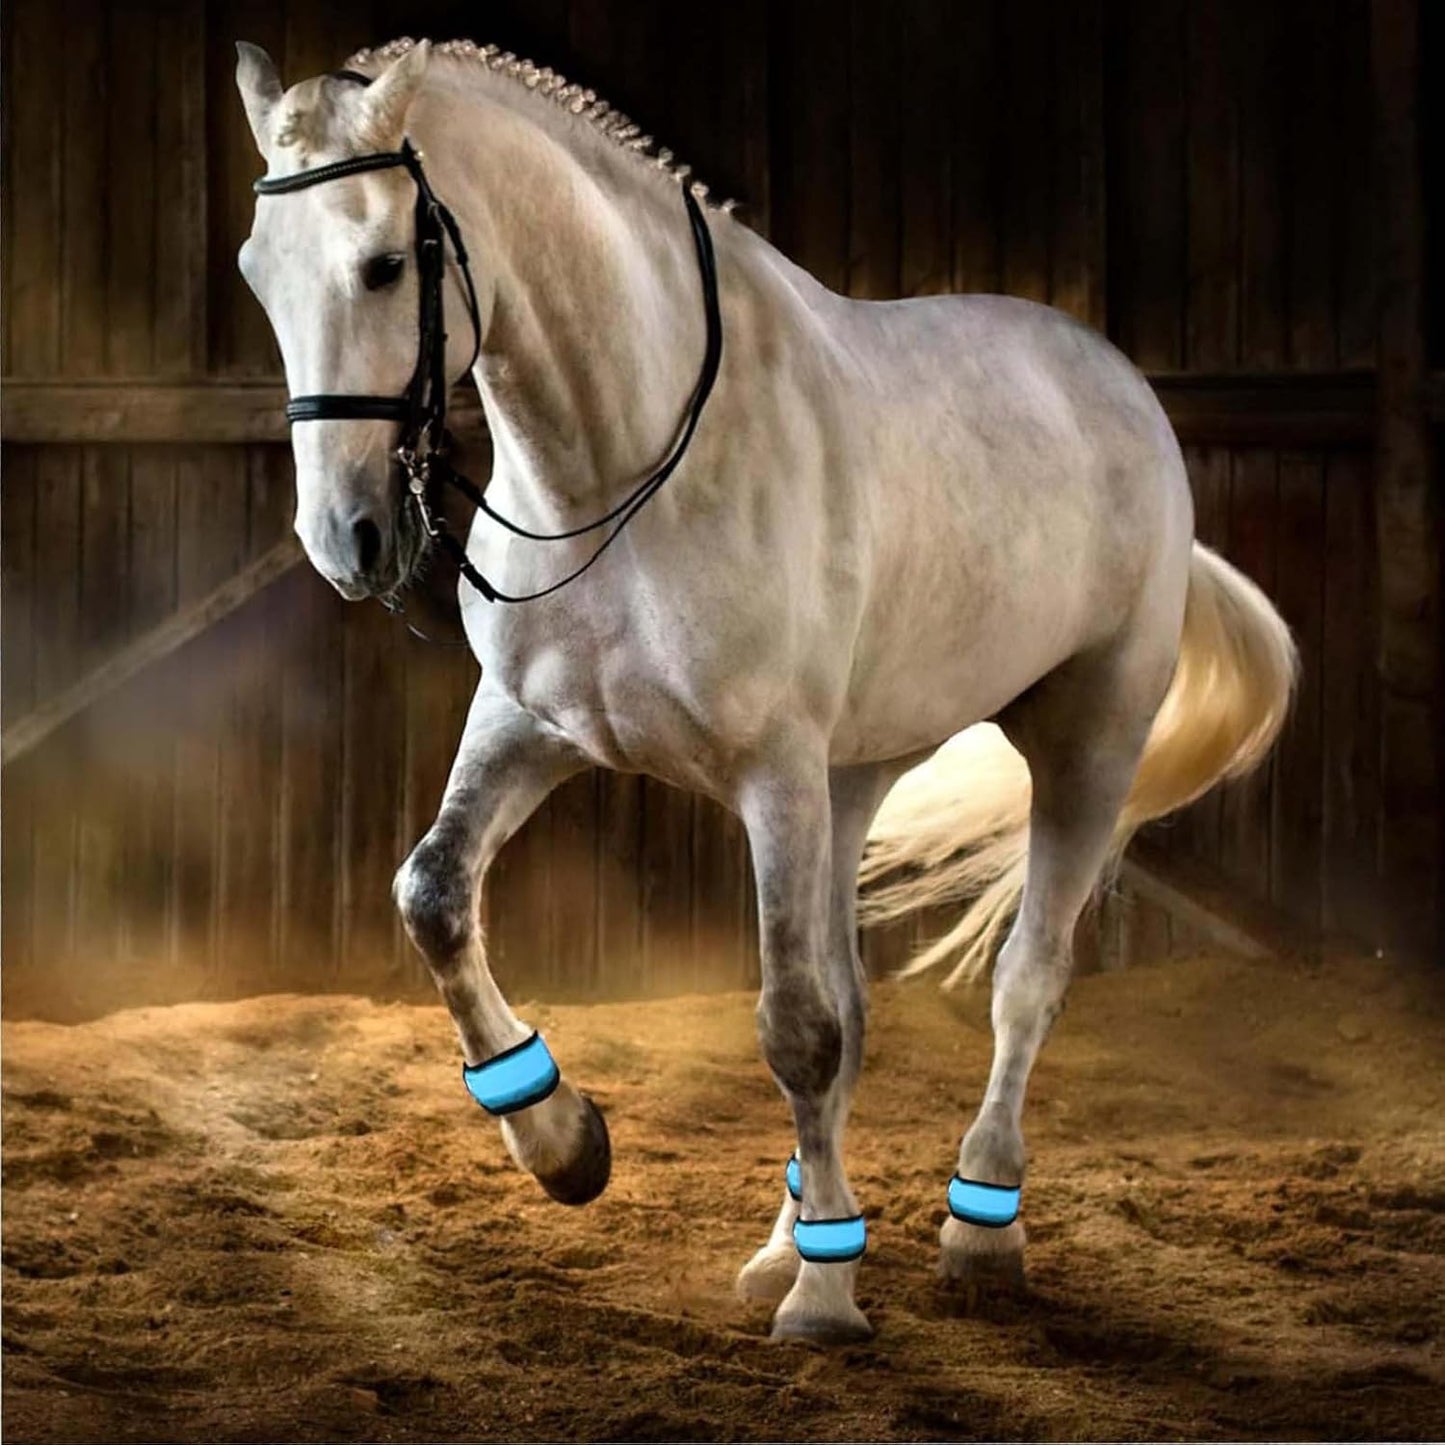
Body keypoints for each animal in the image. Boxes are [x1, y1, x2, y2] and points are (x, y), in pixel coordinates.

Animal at [234, 36, 1296, 1344]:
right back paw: (781, 1239)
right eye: (257, 274)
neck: (626, 469)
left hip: (1080, 741)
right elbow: (432, 893)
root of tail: (1121, 386)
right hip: (853, 779)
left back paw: (973, 1225)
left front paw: (826, 1300)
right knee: (857, 1003)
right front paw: (564, 1145)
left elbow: (795, 1028)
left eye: (384, 265)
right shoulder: (531, 726)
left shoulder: (772, 776)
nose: (346, 538)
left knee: (1024, 982)